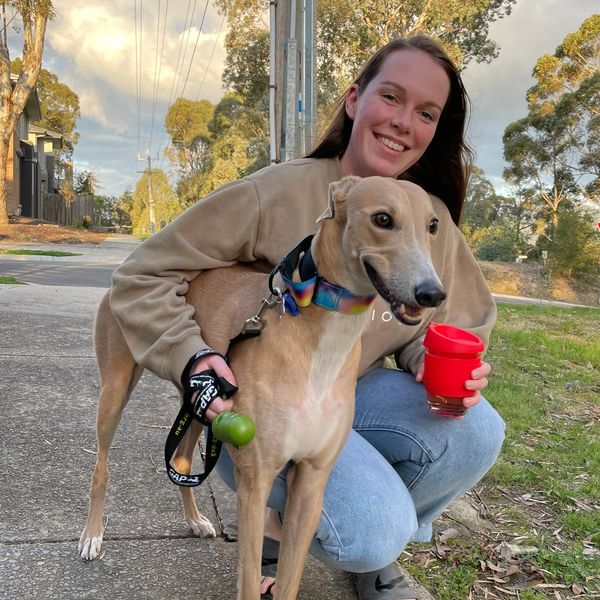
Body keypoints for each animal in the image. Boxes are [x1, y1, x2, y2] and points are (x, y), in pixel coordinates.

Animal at [78, 176, 446, 596]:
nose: (432, 293)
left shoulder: (311, 483)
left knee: (183, 460)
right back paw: (92, 536)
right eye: (382, 219)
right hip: (115, 391)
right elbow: (249, 582)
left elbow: (288, 582)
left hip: (201, 403)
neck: (320, 339)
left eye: (433, 225)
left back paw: (196, 520)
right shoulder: (255, 482)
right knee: (101, 467)